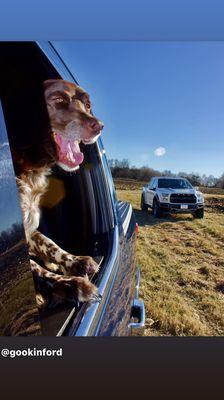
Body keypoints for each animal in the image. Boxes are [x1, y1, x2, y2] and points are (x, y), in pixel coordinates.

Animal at [16, 79, 104, 308]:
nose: (99, 126)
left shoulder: (31, 226)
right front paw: (70, 284)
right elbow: (34, 267)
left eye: (87, 105)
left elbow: (49, 243)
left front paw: (75, 261)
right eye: (58, 100)